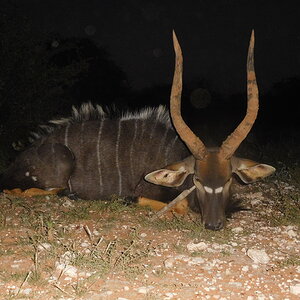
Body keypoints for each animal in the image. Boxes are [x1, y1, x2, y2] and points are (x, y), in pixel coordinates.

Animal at [1, 30, 276, 230]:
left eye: (228, 178)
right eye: (197, 179)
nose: (213, 224)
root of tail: (16, 162)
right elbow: (177, 206)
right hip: (61, 161)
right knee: (29, 190)